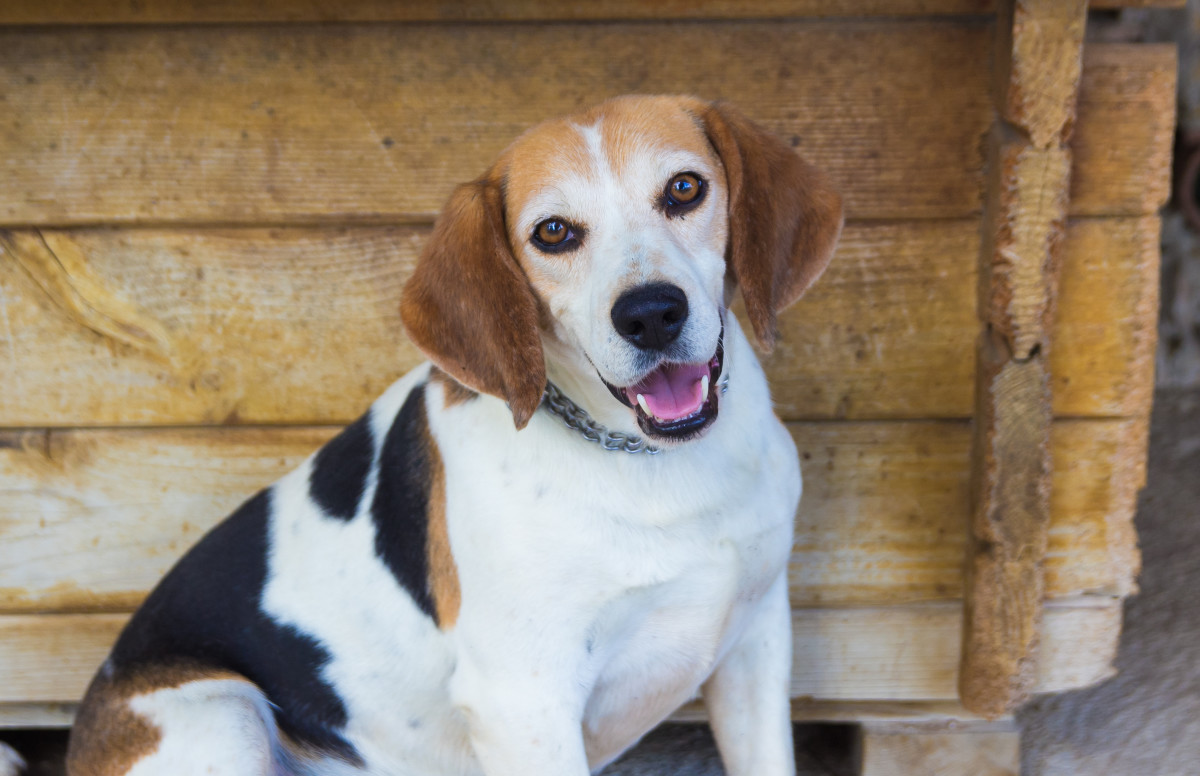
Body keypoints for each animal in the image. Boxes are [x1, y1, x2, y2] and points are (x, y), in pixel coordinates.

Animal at [65, 97, 844, 776]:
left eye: (684, 188)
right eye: (553, 232)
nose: (650, 314)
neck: (654, 466)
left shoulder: (755, 646)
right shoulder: (524, 703)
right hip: (221, 715)